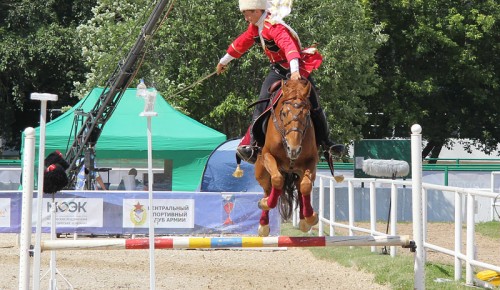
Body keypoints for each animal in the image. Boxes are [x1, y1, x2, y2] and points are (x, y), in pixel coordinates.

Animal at [256, 78, 318, 236]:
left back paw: (303, 220)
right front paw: (265, 203)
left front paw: (311, 217)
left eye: (307, 115)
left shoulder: (311, 160)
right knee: (268, 188)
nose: (293, 149)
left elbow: (306, 186)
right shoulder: (267, 155)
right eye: (283, 113)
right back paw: (263, 222)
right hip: (261, 172)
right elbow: (277, 180)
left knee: (300, 186)